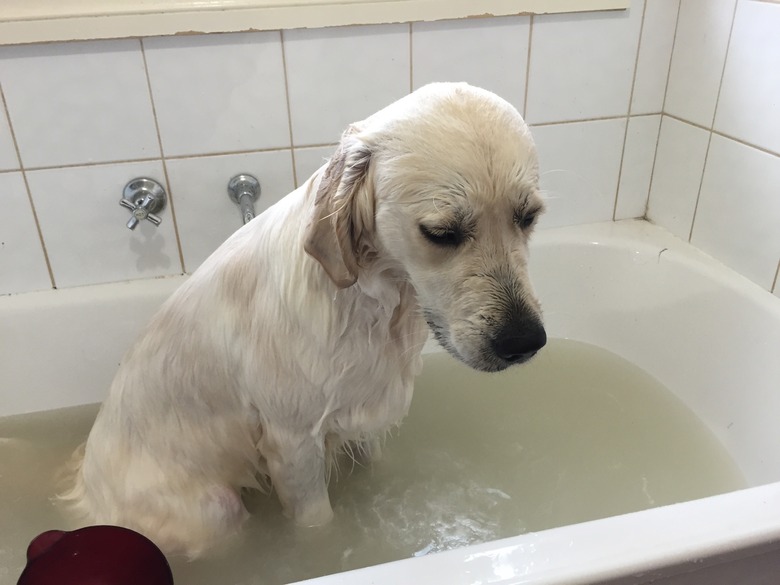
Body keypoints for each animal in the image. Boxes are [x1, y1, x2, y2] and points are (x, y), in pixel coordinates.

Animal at [61, 82, 544, 556]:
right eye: (441, 233)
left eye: (529, 216)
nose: (525, 342)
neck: (367, 299)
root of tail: (84, 495)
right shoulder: (293, 442)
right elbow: (316, 524)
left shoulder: (365, 415)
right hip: (215, 508)